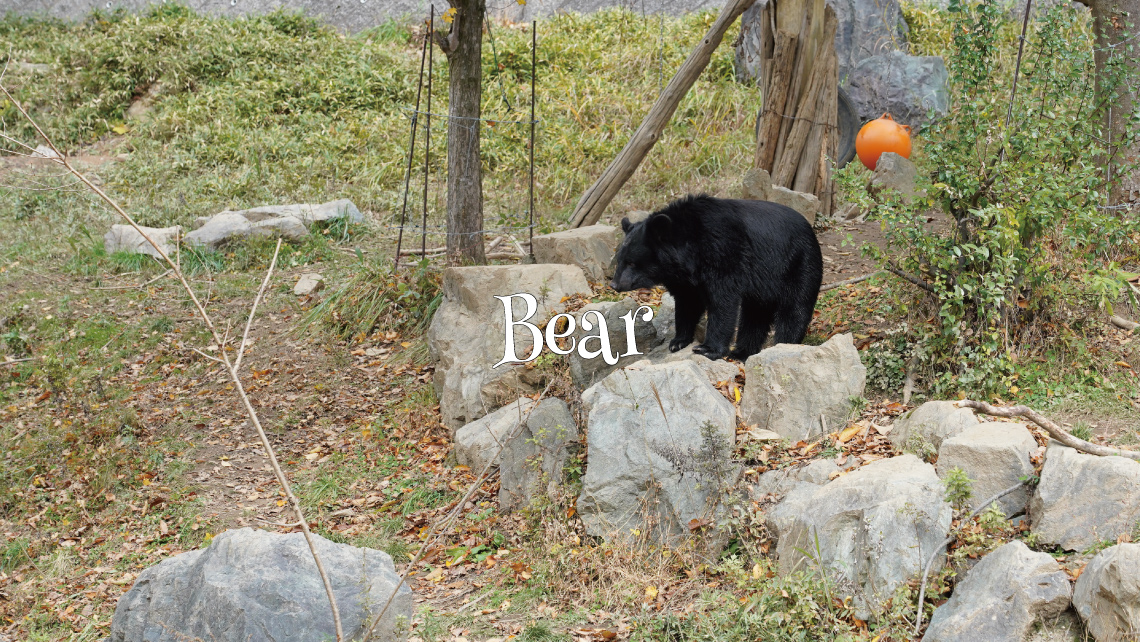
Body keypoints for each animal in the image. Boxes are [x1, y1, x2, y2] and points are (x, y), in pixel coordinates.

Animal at [609, 194, 823, 361]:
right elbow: (688, 304)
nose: (615, 284)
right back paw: (741, 353)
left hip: (798, 265)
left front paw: (706, 349)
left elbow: (723, 301)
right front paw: (678, 342)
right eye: (619, 260)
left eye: (631, 262)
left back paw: (783, 345)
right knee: (755, 315)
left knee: (794, 310)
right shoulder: (685, 280)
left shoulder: (723, 252)